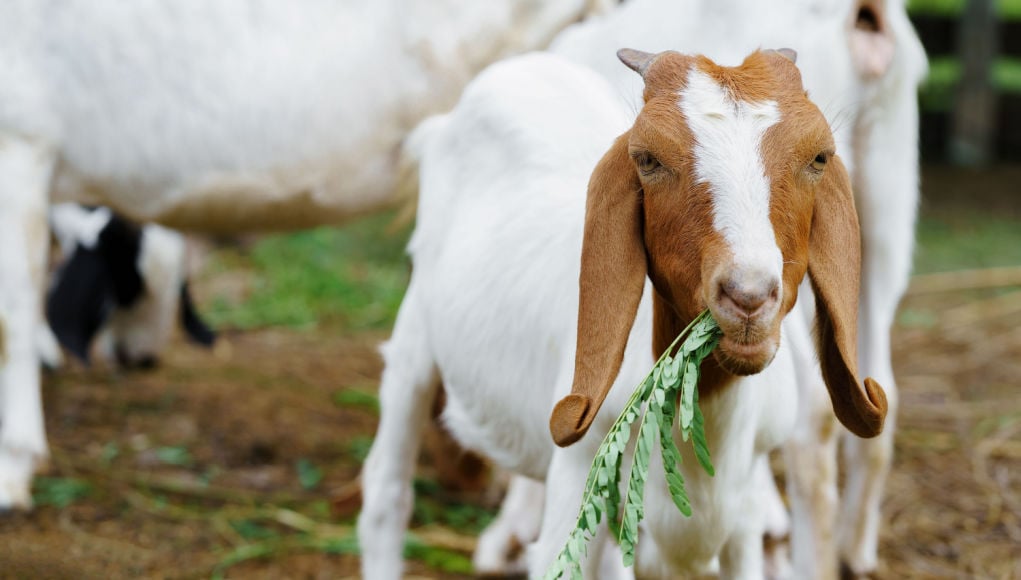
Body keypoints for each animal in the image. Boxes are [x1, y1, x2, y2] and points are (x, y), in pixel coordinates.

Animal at [359, 49, 886, 580]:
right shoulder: (577, 478)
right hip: (415, 335)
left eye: (819, 158)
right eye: (648, 160)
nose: (749, 297)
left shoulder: (742, 516)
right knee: (388, 490)